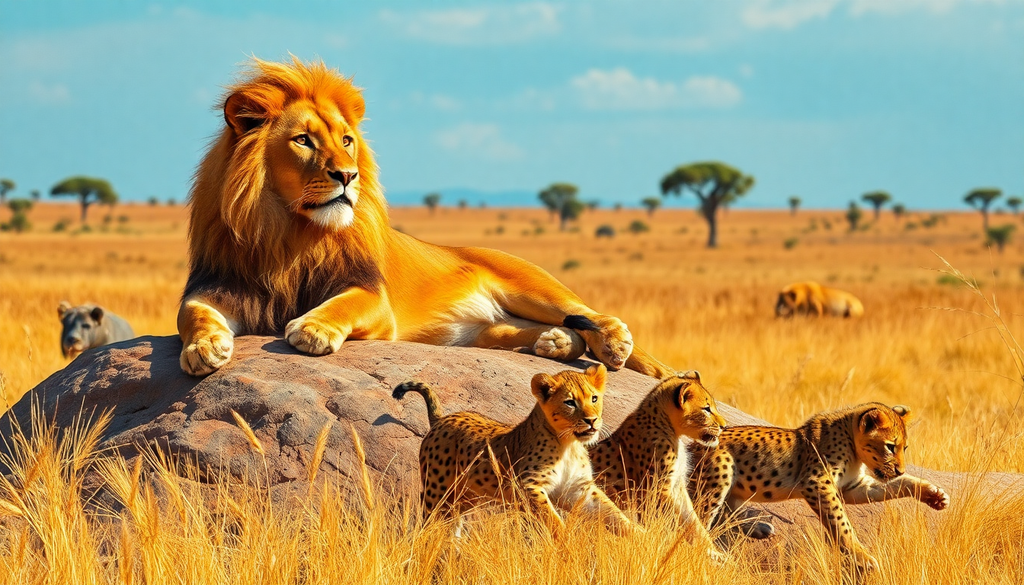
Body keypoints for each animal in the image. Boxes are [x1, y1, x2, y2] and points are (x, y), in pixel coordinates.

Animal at [178, 58, 673, 378]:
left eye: (346, 140)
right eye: (303, 140)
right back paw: (555, 342)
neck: (289, 230)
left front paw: (313, 328)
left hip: (533, 285)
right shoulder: (221, 284)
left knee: (591, 314)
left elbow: (342, 304)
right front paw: (204, 347)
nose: (348, 175)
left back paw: (614, 343)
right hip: (481, 333)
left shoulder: (372, 297)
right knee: (552, 330)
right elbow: (192, 314)